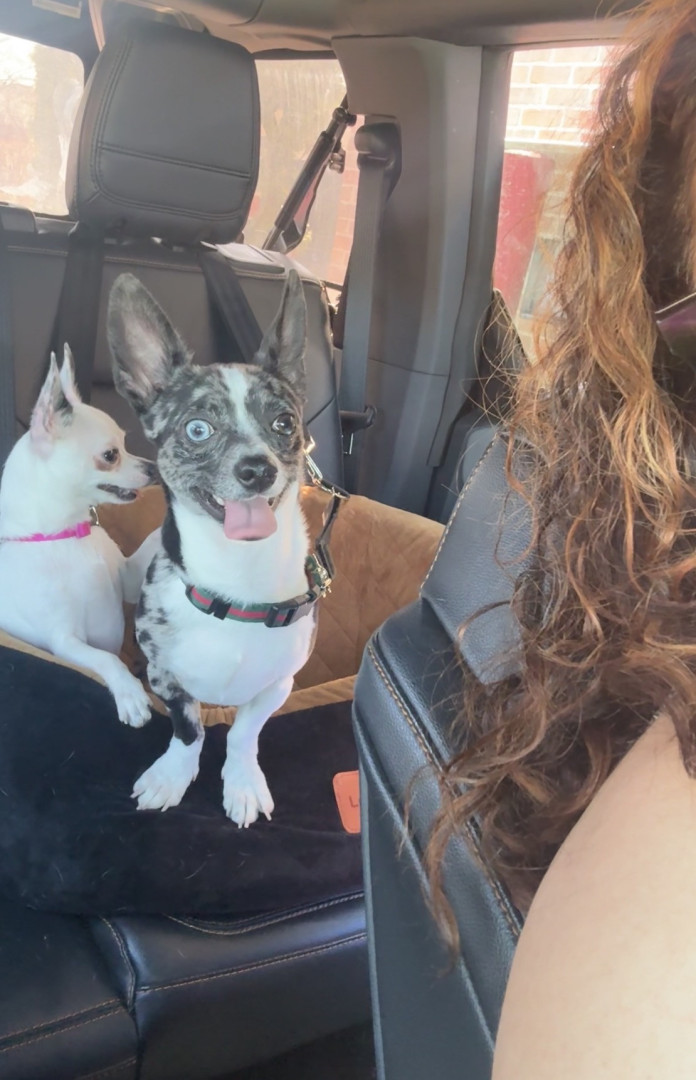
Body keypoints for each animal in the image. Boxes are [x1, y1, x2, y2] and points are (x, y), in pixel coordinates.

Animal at [0, 347, 158, 727]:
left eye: (127, 443)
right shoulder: (65, 642)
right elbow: (105, 658)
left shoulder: (129, 580)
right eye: (111, 455)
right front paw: (129, 693)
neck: (69, 535)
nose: (153, 468)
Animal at [107, 270, 316, 826]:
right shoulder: (165, 676)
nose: (257, 467)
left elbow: (244, 733)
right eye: (198, 429)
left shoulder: (278, 686)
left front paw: (242, 782)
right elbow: (190, 730)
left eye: (285, 423)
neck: (238, 578)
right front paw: (172, 776)